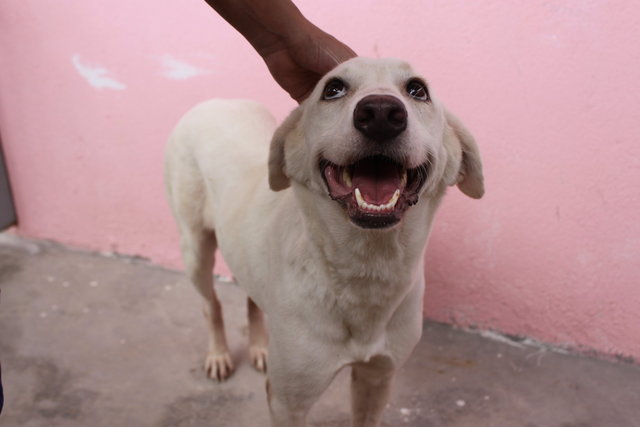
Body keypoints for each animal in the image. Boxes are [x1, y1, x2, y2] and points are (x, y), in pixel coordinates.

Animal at [162, 57, 482, 427]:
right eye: (333, 89)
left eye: (418, 90)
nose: (381, 113)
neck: (364, 272)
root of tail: (217, 102)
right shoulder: (289, 401)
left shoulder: (377, 379)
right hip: (195, 249)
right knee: (210, 304)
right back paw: (218, 354)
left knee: (253, 300)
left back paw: (259, 347)